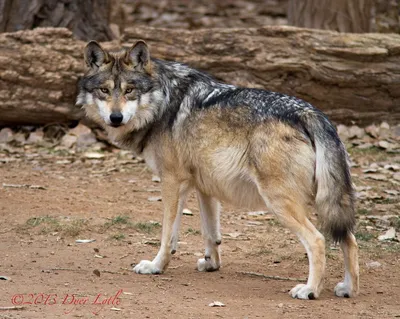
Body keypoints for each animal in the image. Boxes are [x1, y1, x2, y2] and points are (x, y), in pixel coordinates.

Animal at [76, 40, 360, 300]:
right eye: (104, 90)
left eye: (129, 90)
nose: (115, 118)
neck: (163, 101)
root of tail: (310, 113)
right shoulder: (204, 187)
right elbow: (210, 234)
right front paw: (211, 264)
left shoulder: (172, 181)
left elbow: (167, 235)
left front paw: (156, 266)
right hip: (326, 201)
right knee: (349, 239)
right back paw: (348, 289)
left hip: (280, 202)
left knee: (318, 240)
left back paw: (310, 290)